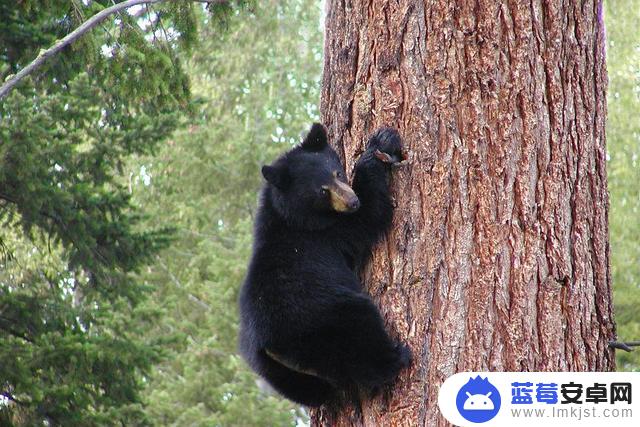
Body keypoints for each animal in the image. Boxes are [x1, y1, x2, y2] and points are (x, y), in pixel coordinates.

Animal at [239, 122, 410, 406]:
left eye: (337, 172)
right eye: (322, 190)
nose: (352, 201)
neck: (285, 215)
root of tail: (270, 347)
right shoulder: (327, 233)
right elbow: (370, 215)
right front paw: (380, 146)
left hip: (273, 371)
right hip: (326, 323)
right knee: (361, 337)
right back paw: (397, 358)